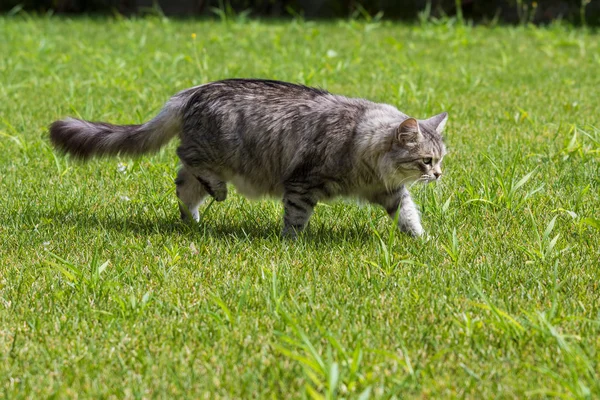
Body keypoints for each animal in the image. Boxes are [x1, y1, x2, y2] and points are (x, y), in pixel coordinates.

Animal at [49, 79, 448, 239]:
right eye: (426, 161)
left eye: (441, 159)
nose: (440, 175)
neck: (361, 142)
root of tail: (193, 91)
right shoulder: (302, 184)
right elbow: (295, 219)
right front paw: (291, 243)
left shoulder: (390, 191)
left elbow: (408, 214)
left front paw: (421, 241)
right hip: (215, 150)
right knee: (186, 160)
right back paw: (219, 193)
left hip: (205, 164)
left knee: (183, 186)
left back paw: (193, 221)